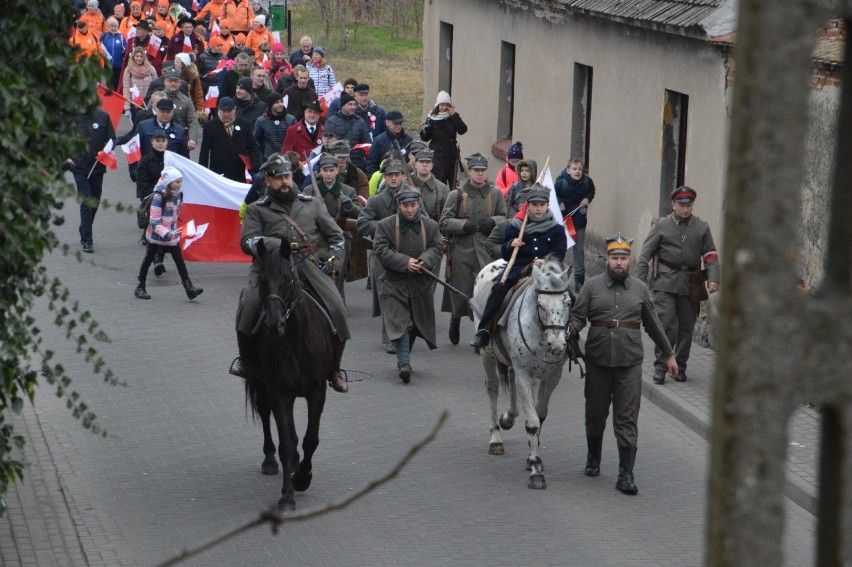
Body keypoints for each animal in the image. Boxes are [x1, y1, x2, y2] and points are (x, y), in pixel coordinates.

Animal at [245, 239, 334, 510]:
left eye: (288, 279)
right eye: (262, 280)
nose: (274, 325)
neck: (296, 340)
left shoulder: (317, 390)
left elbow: (310, 439)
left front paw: (303, 478)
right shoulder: (278, 391)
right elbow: (285, 442)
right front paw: (287, 494)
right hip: (261, 384)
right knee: (265, 414)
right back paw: (270, 460)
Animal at [472, 258, 572, 488]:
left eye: (568, 303)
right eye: (541, 304)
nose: (557, 346)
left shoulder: (552, 376)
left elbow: (540, 414)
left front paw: (533, 459)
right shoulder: (525, 373)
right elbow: (532, 422)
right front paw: (535, 470)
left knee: (509, 378)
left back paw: (508, 418)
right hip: (487, 354)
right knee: (492, 389)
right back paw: (496, 439)